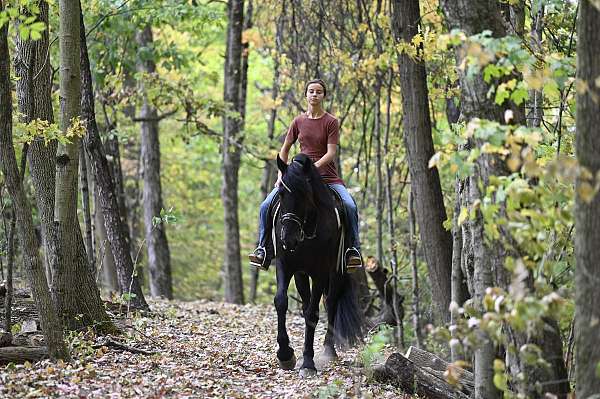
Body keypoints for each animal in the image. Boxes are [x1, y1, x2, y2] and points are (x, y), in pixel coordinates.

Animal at [274, 152, 364, 378]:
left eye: (305, 194)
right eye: (281, 193)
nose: (288, 239)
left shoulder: (320, 272)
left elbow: (313, 314)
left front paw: (308, 363)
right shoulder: (287, 265)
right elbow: (281, 301)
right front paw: (285, 355)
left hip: (337, 273)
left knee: (330, 303)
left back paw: (329, 351)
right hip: (302, 274)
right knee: (307, 303)